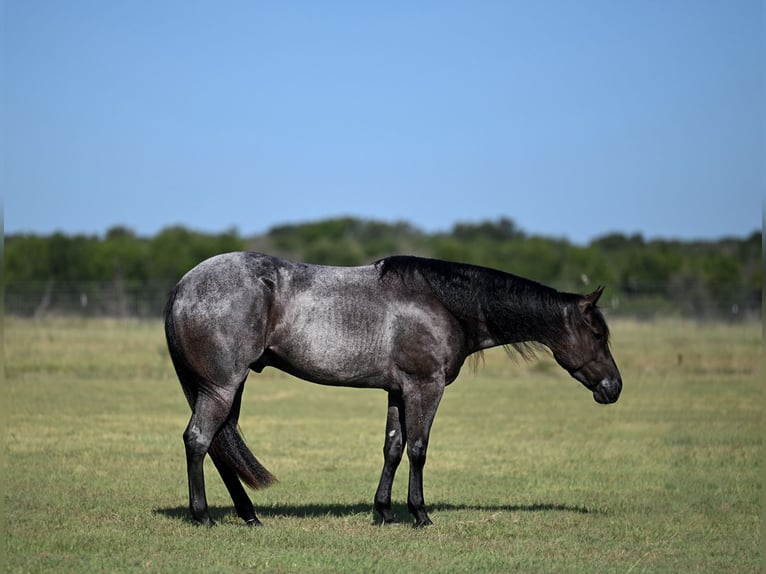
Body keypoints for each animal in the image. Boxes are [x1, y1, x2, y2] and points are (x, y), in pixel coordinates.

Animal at [164, 252, 622, 528]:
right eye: (597, 334)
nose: (614, 387)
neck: (442, 303)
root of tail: (184, 284)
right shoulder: (425, 387)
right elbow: (418, 448)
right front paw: (420, 514)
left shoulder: (397, 391)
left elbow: (393, 447)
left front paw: (383, 512)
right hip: (222, 386)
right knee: (199, 439)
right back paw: (203, 516)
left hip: (228, 388)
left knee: (219, 446)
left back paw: (249, 516)